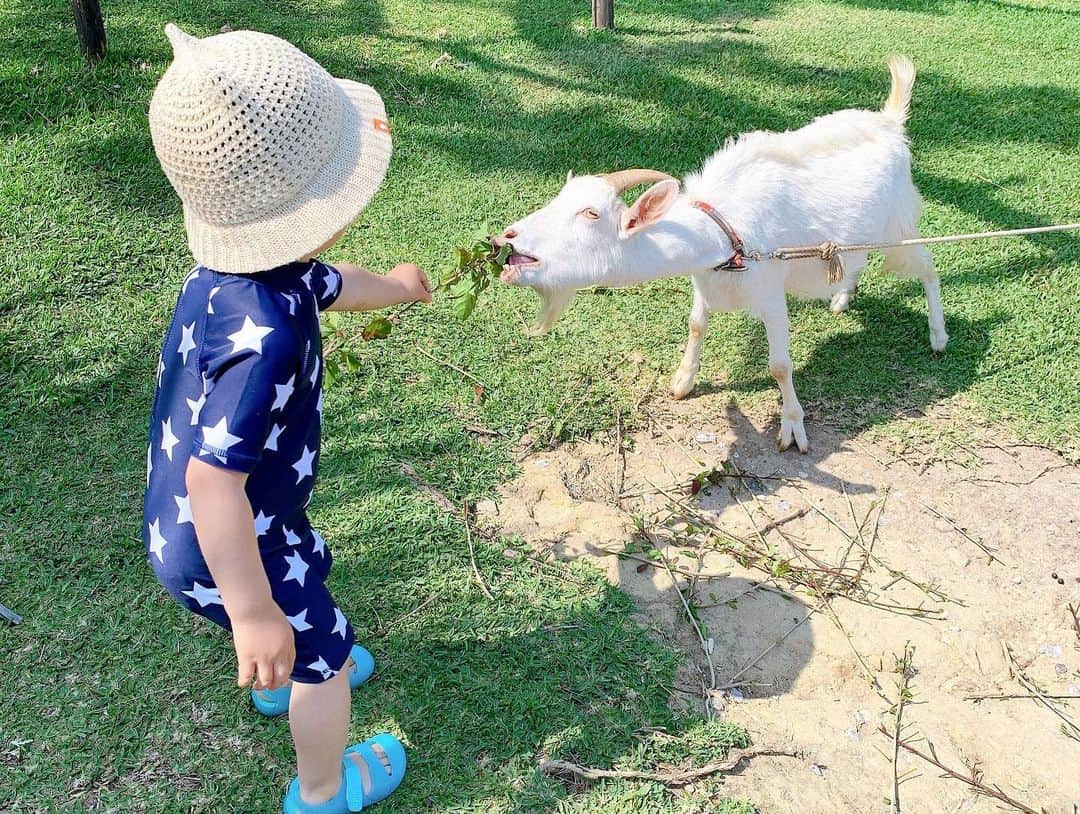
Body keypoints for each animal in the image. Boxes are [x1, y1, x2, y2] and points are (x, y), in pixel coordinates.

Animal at [494, 55, 946, 451]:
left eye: (591, 213)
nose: (505, 241)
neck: (727, 234)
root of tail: (891, 121)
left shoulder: (770, 292)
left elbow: (780, 365)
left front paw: (792, 427)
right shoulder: (705, 280)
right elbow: (696, 325)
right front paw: (683, 381)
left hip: (899, 227)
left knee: (927, 267)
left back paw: (938, 336)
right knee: (856, 261)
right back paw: (840, 297)